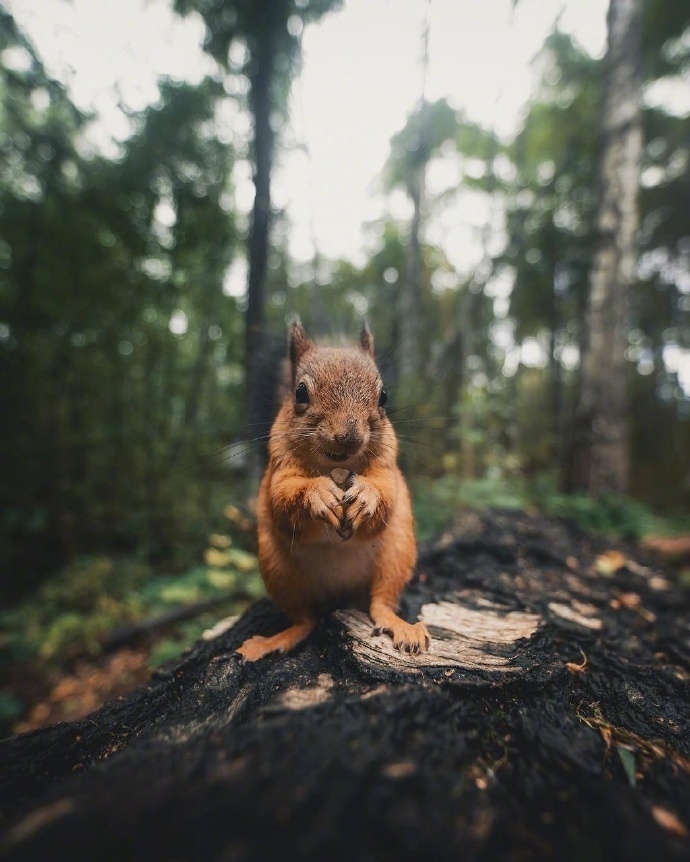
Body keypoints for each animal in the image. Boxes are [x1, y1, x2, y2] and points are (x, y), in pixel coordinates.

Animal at [236, 320, 430, 664]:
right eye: (300, 392)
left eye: (383, 396)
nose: (348, 436)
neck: (336, 467)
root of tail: (341, 594)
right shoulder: (278, 469)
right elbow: (282, 501)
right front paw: (318, 494)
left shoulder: (388, 467)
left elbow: (386, 496)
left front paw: (366, 495)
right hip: (279, 572)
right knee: (304, 619)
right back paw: (272, 641)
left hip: (396, 557)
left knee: (381, 603)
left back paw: (403, 627)